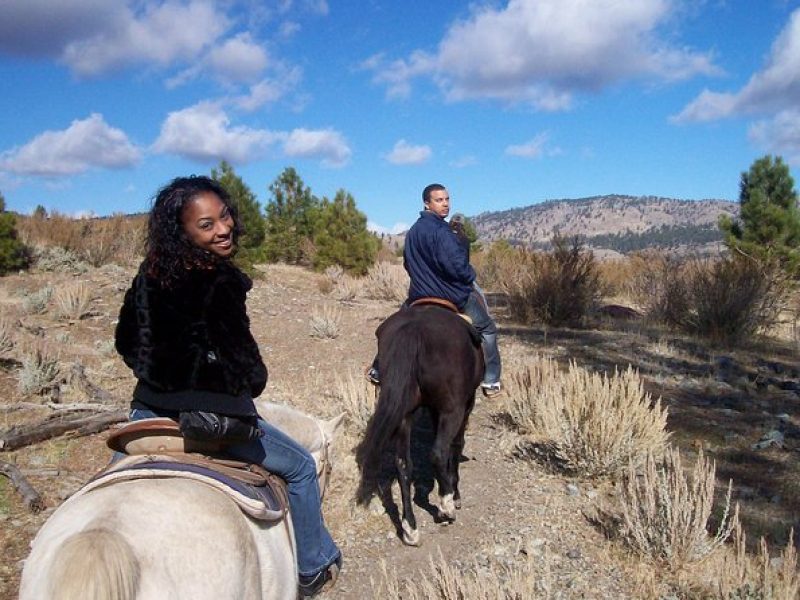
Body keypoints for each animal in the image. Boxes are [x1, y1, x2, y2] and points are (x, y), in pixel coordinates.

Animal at [356, 304, 482, 544]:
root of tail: (413, 329)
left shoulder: (433, 410)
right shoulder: (465, 404)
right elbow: (456, 445)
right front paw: (455, 495)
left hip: (404, 414)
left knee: (403, 464)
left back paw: (410, 528)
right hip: (452, 409)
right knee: (438, 452)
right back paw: (446, 507)